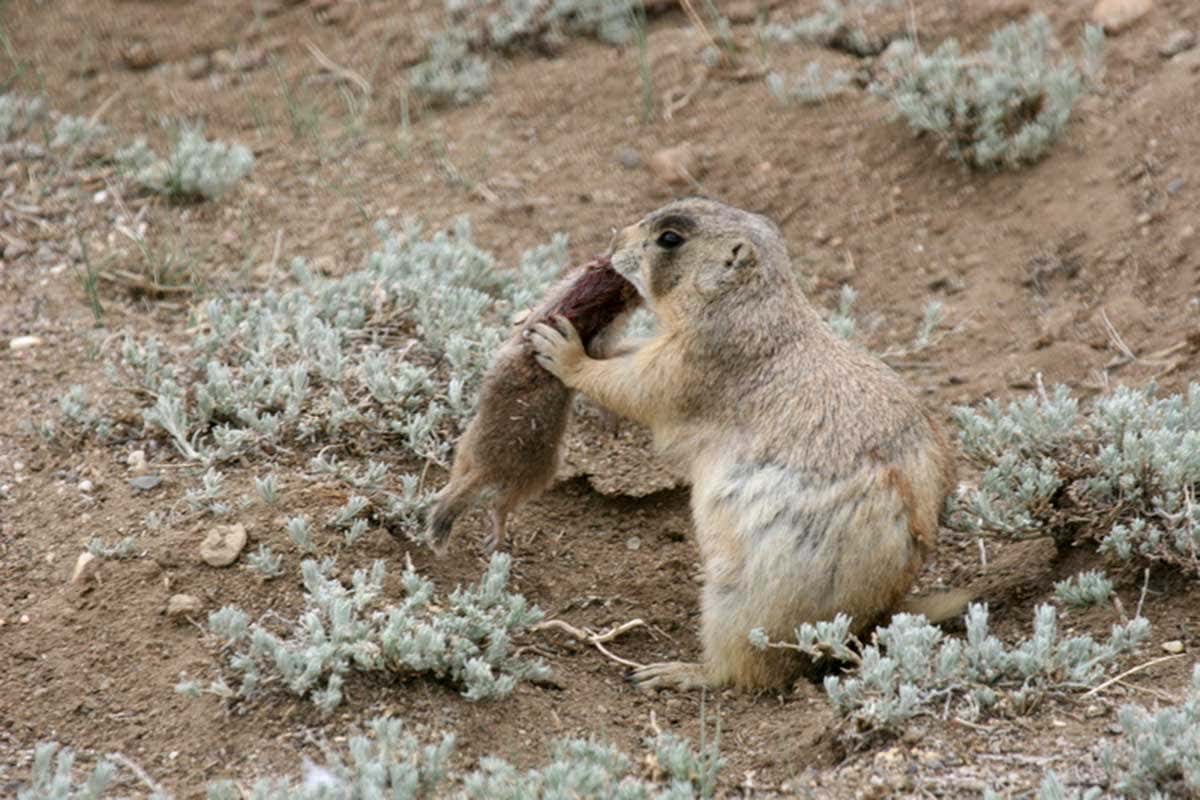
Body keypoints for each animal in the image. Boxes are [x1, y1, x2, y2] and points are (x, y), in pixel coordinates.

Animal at [427, 256, 638, 555]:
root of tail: (485, 466)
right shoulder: (602, 335)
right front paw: (612, 422)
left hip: (465, 446)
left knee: (458, 479)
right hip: (542, 470)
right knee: (499, 505)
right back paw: (496, 538)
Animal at [528, 197, 961, 690]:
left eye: (670, 238)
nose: (614, 241)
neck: (748, 303)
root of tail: (874, 616)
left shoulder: (694, 360)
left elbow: (637, 382)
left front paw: (561, 345)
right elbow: (634, 355)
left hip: (744, 598)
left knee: (744, 669)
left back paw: (672, 672)